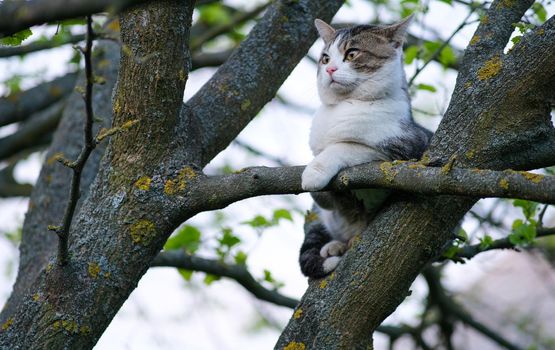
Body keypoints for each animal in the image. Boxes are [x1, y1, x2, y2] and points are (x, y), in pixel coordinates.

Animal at [300, 16, 434, 278]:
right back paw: (334, 246)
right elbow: (325, 201)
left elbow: (346, 146)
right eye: (325, 58)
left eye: (352, 54)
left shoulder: (406, 146)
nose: (330, 69)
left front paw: (313, 173)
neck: (345, 106)